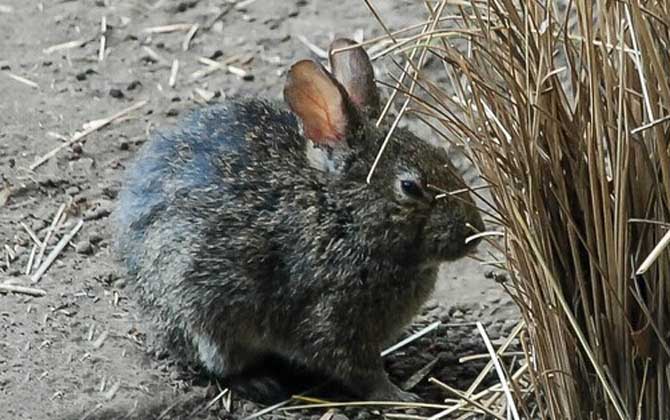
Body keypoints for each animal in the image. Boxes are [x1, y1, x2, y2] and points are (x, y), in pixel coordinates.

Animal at [114, 38, 484, 404]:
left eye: (443, 156)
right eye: (410, 187)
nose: (474, 235)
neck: (343, 216)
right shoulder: (330, 317)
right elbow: (359, 370)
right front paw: (399, 396)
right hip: (204, 312)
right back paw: (258, 383)